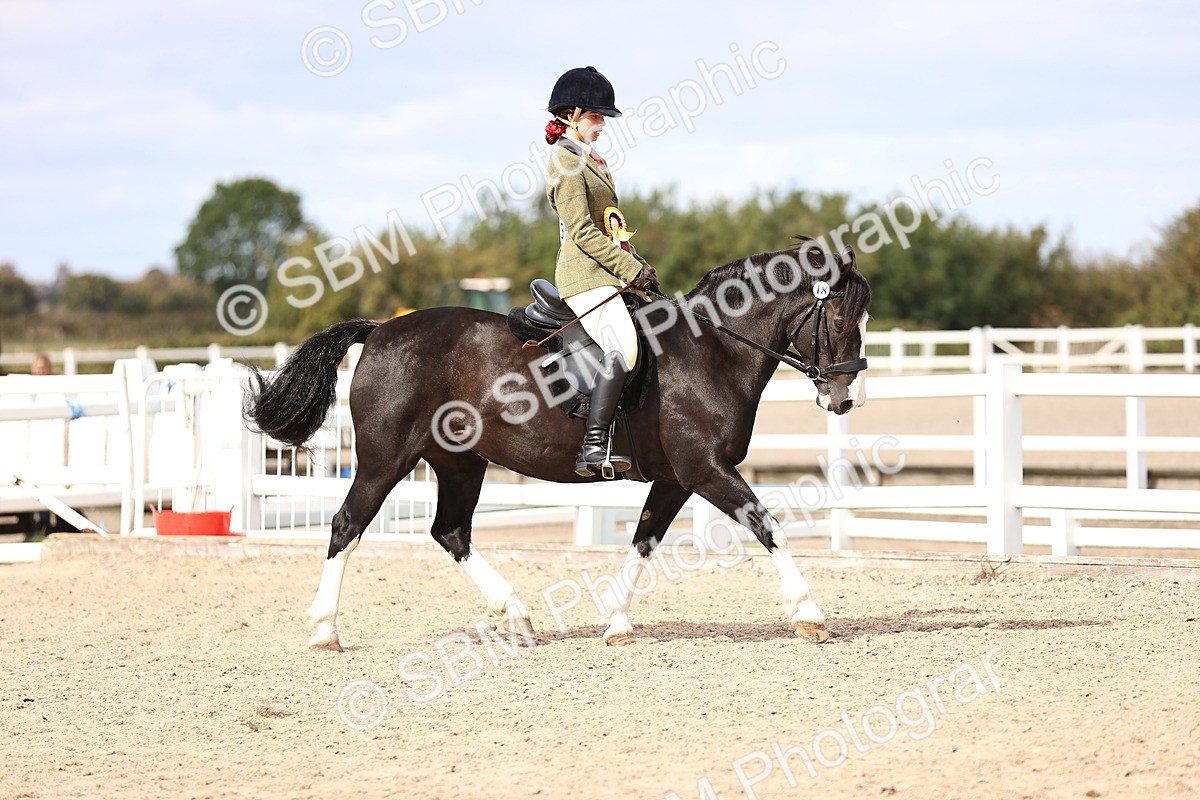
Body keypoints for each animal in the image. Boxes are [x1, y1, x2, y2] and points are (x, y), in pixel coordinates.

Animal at [246, 240, 871, 650]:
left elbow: (644, 542)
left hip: (461, 463)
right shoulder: (705, 470)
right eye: (841, 319)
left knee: (451, 532)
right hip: (384, 460)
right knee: (346, 526)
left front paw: (617, 623)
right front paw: (810, 614)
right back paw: (325, 630)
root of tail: (380, 330)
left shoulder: (675, 478)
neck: (712, 350)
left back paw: (516, 617)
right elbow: (768, 525)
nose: (846, 398)